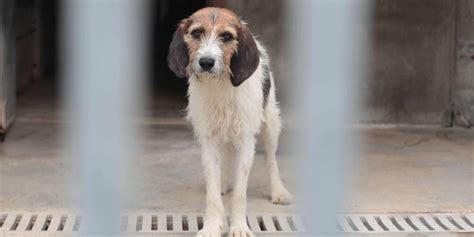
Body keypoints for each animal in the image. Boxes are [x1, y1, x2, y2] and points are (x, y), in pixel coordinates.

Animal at [167, 7, 292, 237]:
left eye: (226, 36)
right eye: (196, 33)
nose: (206, 62)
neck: (221, 84)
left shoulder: (246, 141)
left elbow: (240, 193)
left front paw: (239, 227)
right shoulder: (208, 140)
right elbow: (212, 191)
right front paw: (212, 226)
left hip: (271, 124)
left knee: (270, 159)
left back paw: (278, 191)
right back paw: (224, 183)